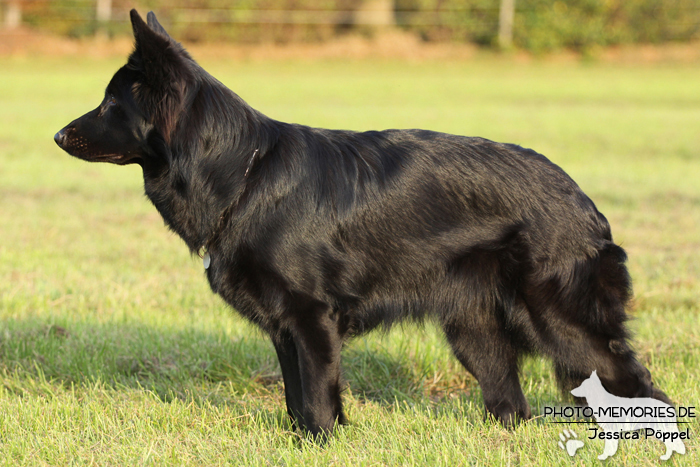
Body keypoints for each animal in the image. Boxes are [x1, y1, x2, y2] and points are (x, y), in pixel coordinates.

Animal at [53, 10, 668, 438]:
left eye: (111, 104)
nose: (57, 135)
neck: (241, 174)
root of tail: (581, 198)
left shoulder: (312, 320)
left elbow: (319, 401)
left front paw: (324, 444)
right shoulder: (285, 329)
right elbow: (297, 401)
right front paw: (302, 443)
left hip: (566, 325)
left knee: (639, 387)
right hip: (475, 334)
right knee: (512, 407)